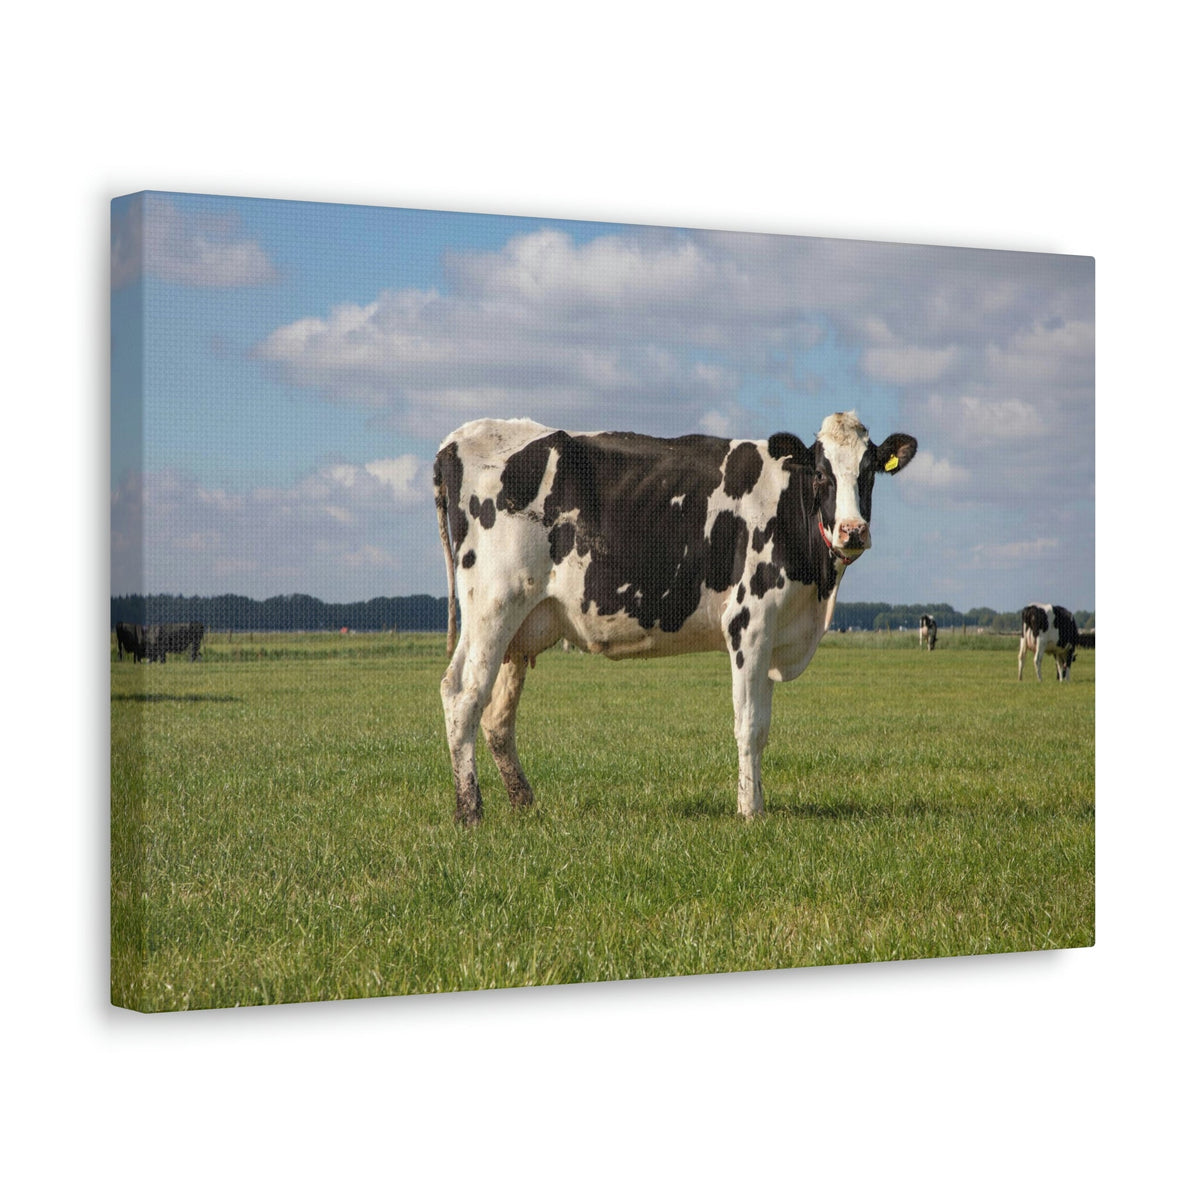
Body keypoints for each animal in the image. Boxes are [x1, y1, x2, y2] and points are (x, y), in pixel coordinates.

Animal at [434, 411, 917, 825]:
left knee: (497, 717)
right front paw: (750, 811)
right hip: (492, 603)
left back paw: (524, 802)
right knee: (462, 695)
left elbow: (762, 725)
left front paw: (755, 803)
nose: (852, 531)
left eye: (869, 470)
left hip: (521, 625)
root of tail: (457, 439)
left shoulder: (774, 631)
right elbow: (749, 725)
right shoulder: (749, 622)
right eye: (821, 472)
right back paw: (469, 811)